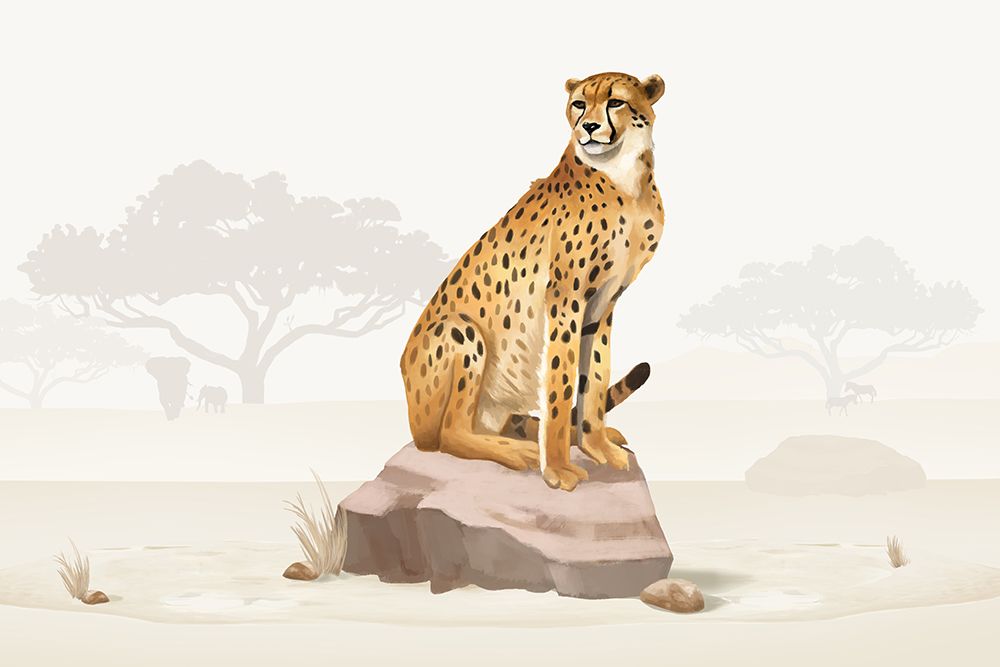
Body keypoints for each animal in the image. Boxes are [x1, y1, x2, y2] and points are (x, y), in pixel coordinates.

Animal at [400, 72, 665, 491]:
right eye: (579, 104)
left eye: (615, 101)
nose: (589, 127)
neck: (625, 181)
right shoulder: (565, 298)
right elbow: (560, 382)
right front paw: (556, 468)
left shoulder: (602, 303)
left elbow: (594, 379)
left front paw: (596, 446)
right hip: (458, 330)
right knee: (449, 434)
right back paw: (516, 451)